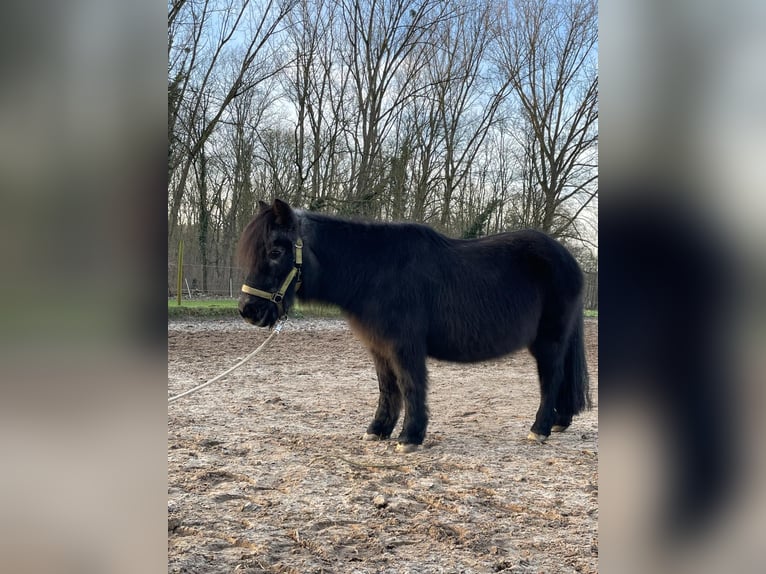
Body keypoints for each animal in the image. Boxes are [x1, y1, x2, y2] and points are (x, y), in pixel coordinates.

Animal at [237, 200, 592, 452]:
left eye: (275, 251)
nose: (249, 311)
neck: (375, 273)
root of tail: (570, 260)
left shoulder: (404, 346)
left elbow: (410, 385)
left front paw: (410, 437)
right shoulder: (379, 348)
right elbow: (387, 388)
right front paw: (377, 431)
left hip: (549, 341)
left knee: (551, 379)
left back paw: (539, 430)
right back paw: (559, 423)